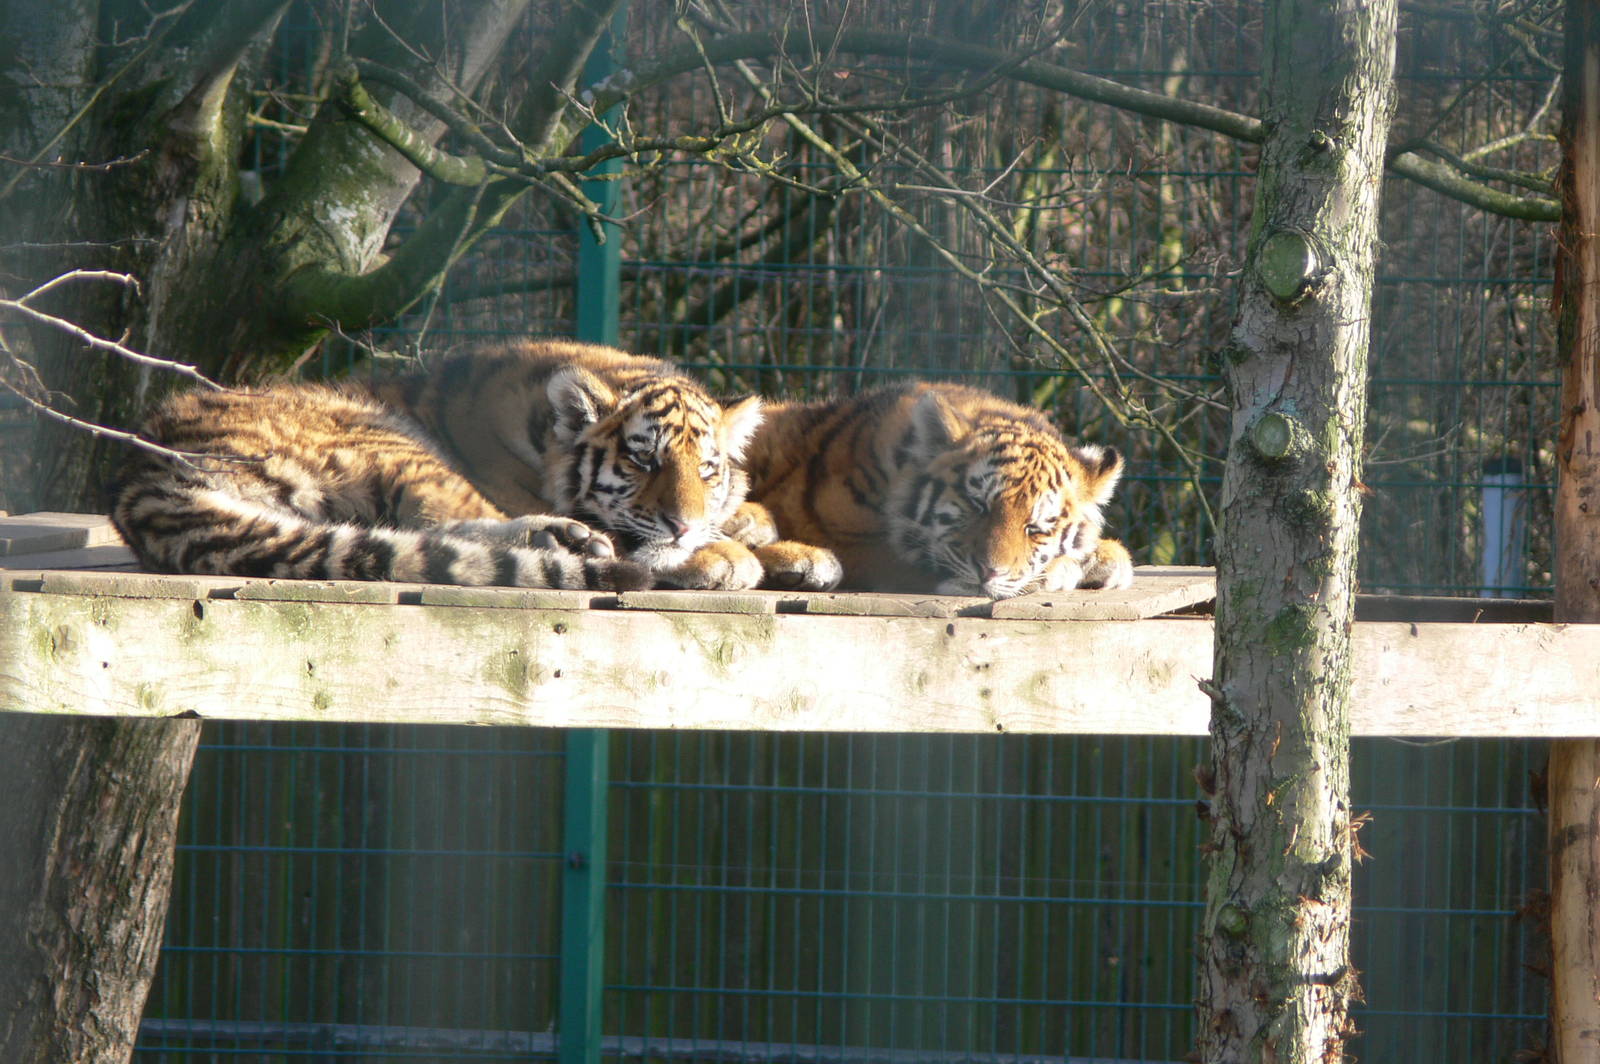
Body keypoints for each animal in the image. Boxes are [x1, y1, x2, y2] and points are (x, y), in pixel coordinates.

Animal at [111, 339, 836, 591]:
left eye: (707, 468)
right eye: (641, 459)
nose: (684, 525)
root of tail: (137, 473)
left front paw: (775, 539)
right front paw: (729, 553)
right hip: (386, 437)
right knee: (455, 524)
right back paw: (571, 540)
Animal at [736, 380, 1134, 599]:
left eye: (1034, 528)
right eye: (977, 504)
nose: (990, 573)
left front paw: (1104, 557)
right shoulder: (863, 547)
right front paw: (1060, 571)